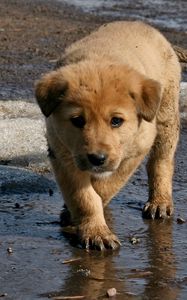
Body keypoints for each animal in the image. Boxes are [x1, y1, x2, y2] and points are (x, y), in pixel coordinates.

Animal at [35, 21, 180, 250]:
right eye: (77, 120)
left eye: (116, 121)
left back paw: (160, 201)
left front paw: (84, 221)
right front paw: (95, 231)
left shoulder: (135, 151)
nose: (97, 158)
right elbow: (83, 196)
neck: (100, 60)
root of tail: (139, 23)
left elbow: (105, 187)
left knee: (161, 161)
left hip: (166, 116)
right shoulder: (61, 151)